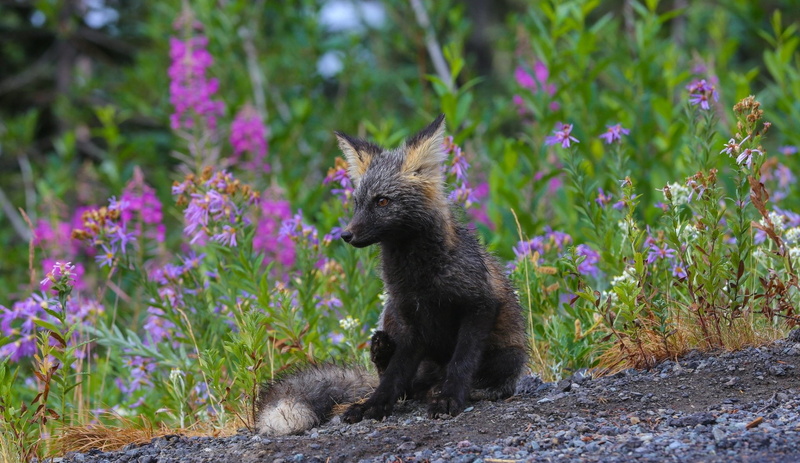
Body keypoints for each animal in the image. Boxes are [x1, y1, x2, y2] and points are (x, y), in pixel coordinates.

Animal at [255, 114, 528, 436]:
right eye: (357, 203)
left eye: (382, 201)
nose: (346, 235)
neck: (419, 276)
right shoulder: (409, 317)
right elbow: (393, 378)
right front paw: (374, 405)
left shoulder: (478, 306)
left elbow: (462, 362)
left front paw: (450, 398)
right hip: (390, 316)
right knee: (404, 384)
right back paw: (384, 355)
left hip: (508, 356)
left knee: (481, 382)